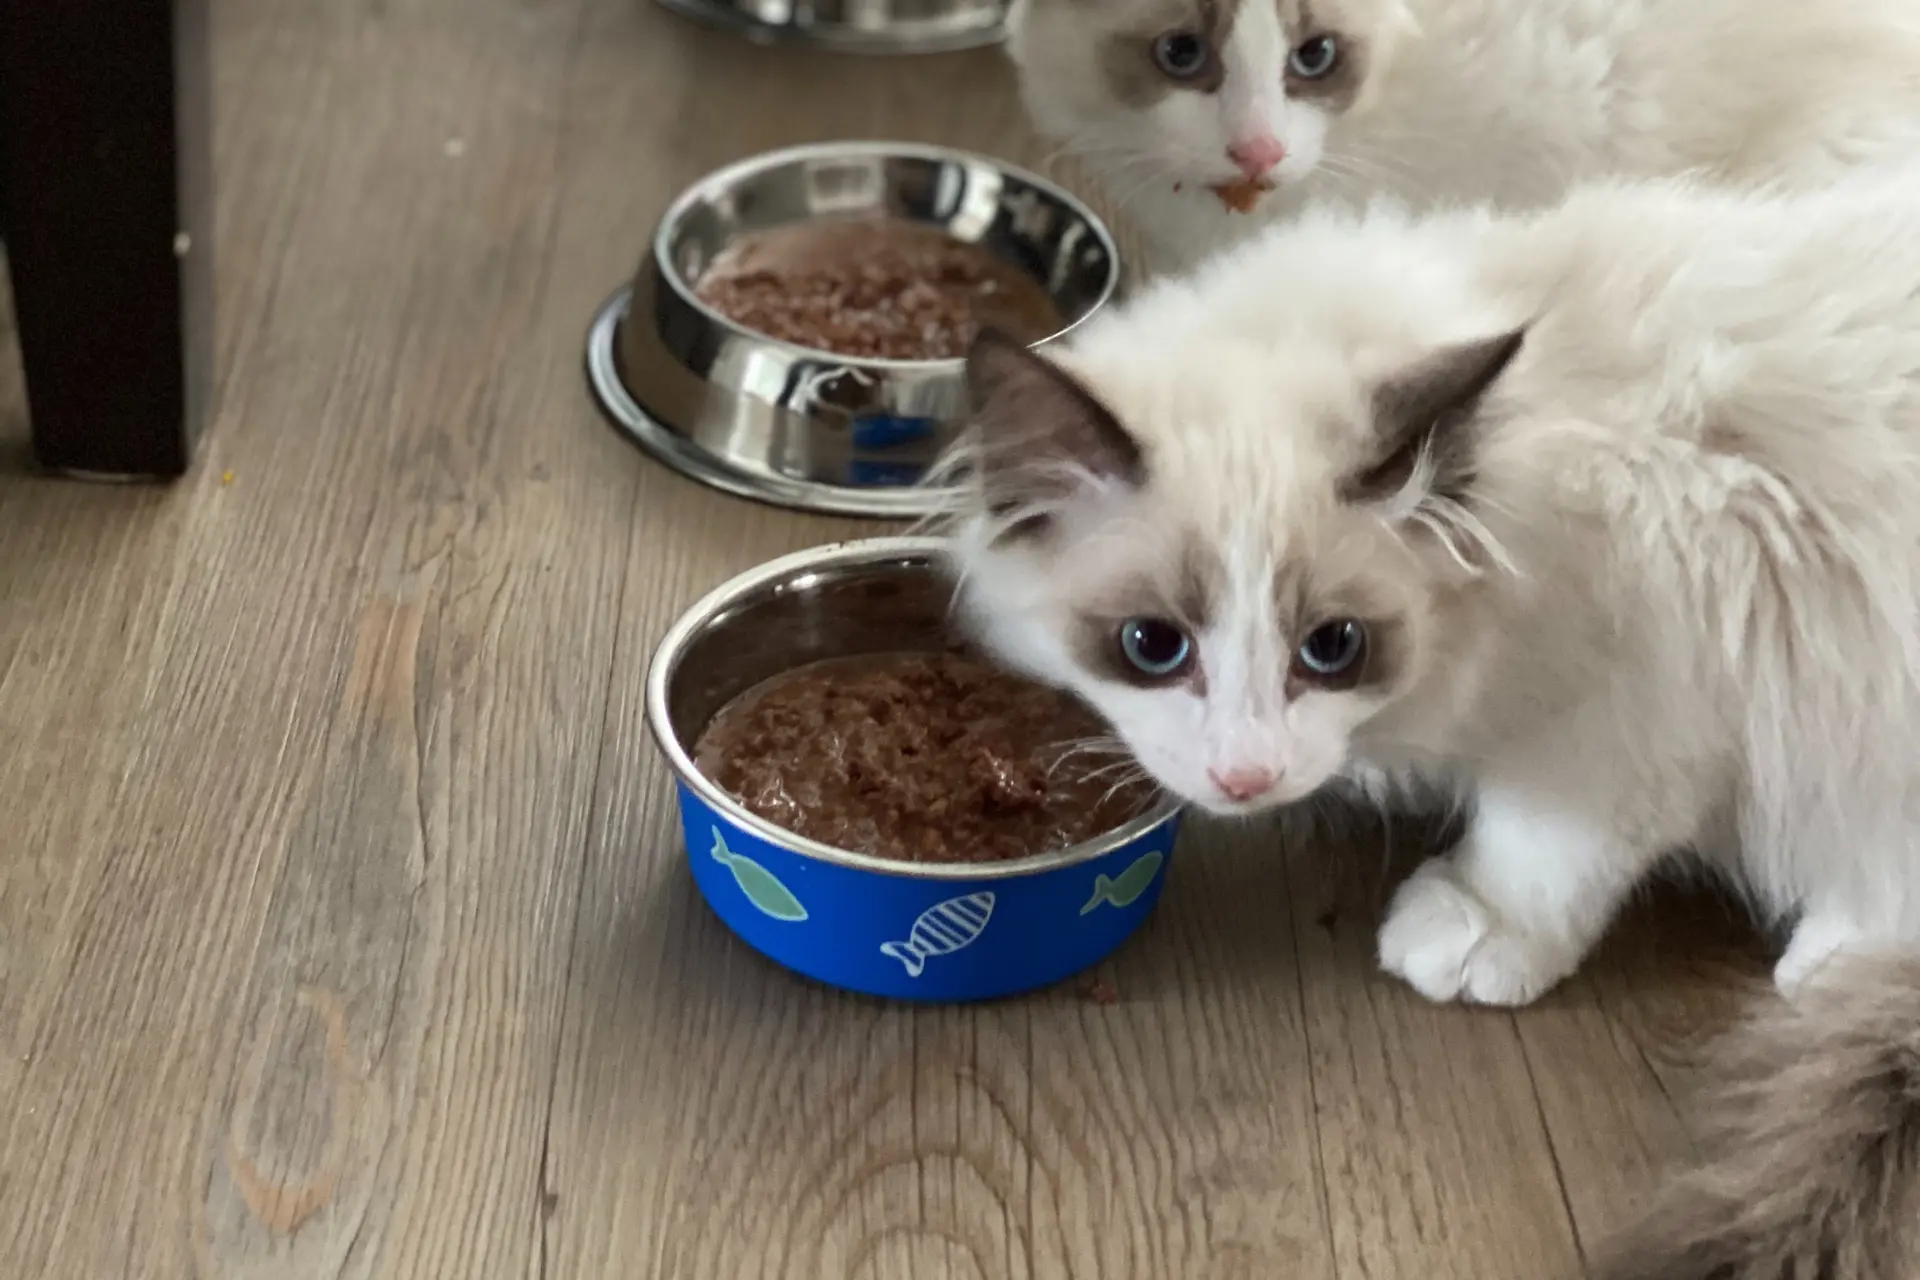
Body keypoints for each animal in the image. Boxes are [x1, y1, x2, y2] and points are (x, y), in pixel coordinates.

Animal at [936, 165, 1920, 1274]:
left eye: (1333, 647)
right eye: (1152, 644)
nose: (1245, 777)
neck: (1518, 511)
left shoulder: (1640, 704)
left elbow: (1547, 845)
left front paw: (1473, 929)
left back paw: (1828, 961)